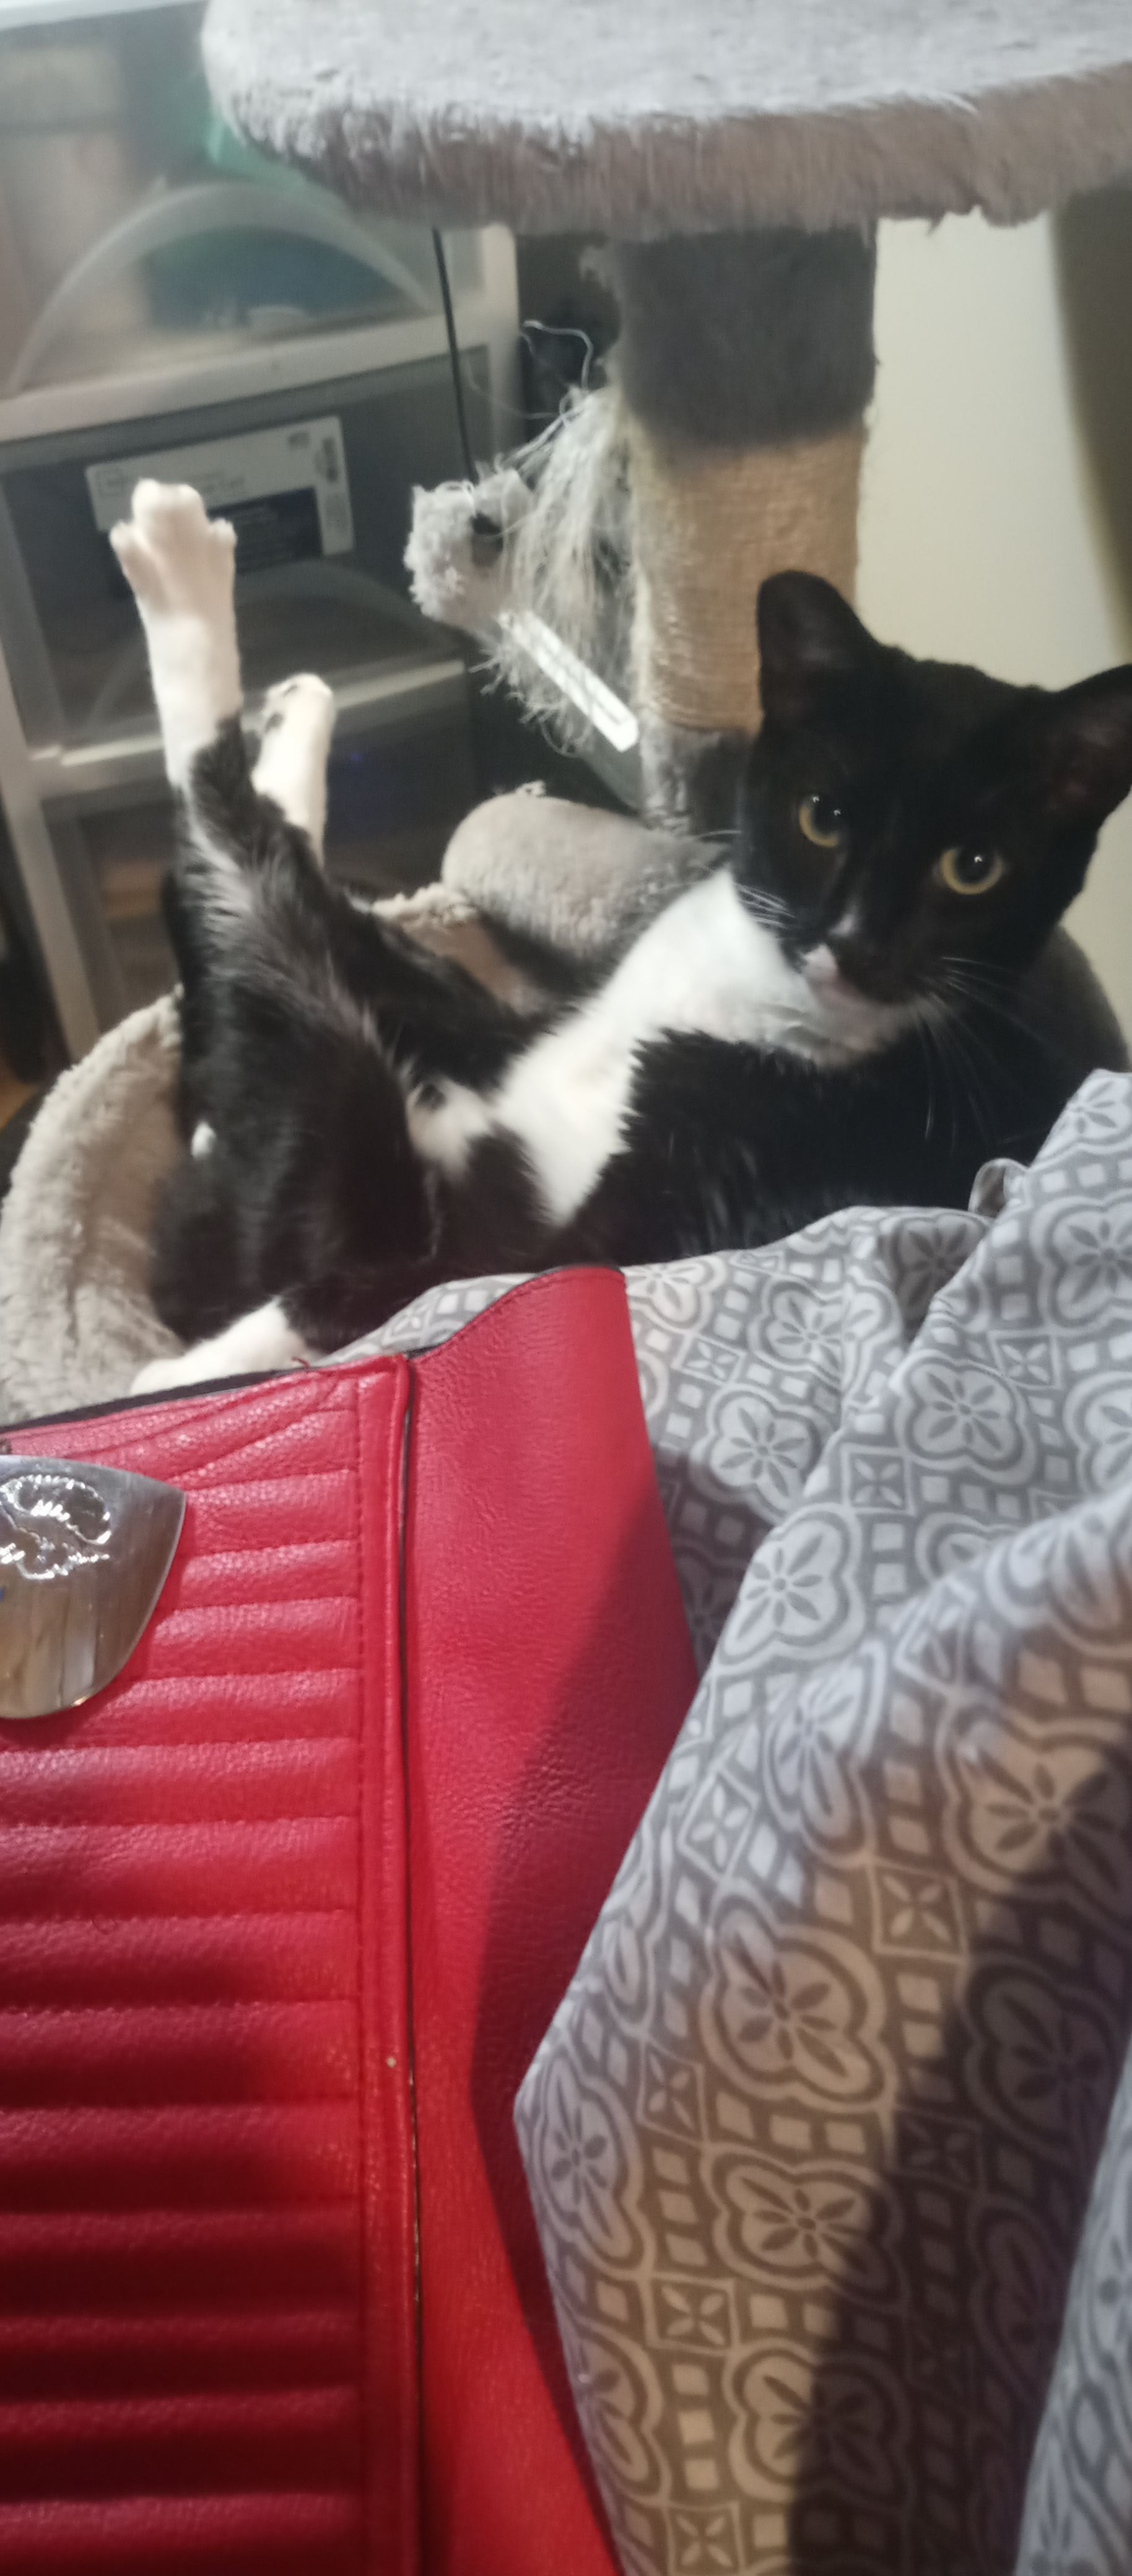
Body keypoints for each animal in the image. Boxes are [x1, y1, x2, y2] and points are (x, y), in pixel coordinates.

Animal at [109, 480, 1132, 1397]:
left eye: (975, 868)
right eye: (822, 817)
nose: (858, 943)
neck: (753, 992)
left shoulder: (575, 1241)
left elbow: (362, 1296)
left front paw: (182, 1385)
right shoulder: (526, 1036)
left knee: (239, 875)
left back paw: (178, 566)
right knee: (269, 890)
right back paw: (284, 694)